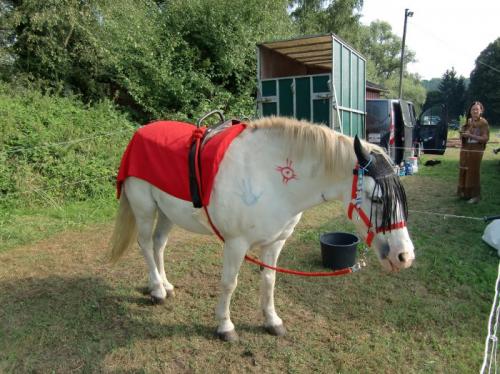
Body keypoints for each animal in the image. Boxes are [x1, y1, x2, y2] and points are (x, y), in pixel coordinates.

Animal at [111, 117, 416, 342]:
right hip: (144, 208)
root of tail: (139, 133)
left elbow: (269, 281)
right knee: (145, 245)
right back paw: (156, 290)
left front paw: (272, 321)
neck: (270, 179)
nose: (405, 256)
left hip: (167, 212)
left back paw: (165, 285)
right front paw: (225, 326)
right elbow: (229, 283)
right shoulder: (235, 244)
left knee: (159, 243)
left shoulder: (275, 242)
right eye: (377, 199)